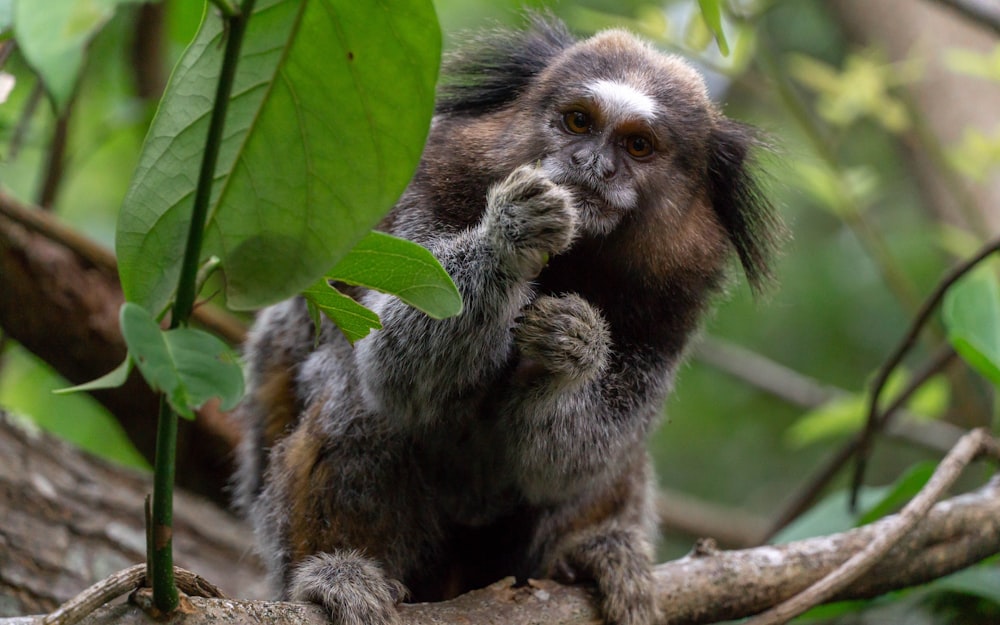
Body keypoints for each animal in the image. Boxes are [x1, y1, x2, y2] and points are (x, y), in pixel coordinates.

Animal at [232, 13, 780, 624]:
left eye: (638, 145)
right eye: (578, 121)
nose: (592, 165)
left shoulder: (673, 301)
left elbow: (572, 458)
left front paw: (572, 350)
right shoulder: (435, 190)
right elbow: (393, 366)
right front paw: (510, 237)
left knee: (619, 460)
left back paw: (594, 551)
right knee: (357, 404)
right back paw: (335, 573)